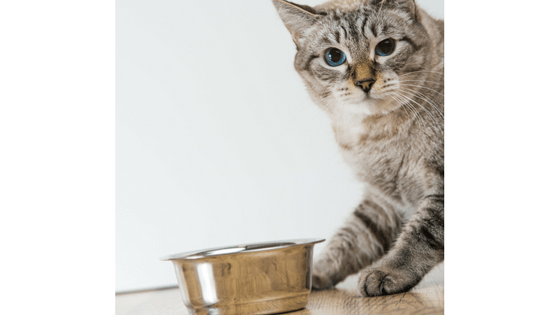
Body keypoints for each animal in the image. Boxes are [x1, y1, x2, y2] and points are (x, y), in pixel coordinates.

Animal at [272, 0, 446, 296]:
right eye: (334, 57)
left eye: (386, 47)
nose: (364, 82)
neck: (378, 132)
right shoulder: (382, 201)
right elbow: (350, 241)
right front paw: (313, 274)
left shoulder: (440, 189)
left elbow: (420, 236)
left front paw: (388, 272)